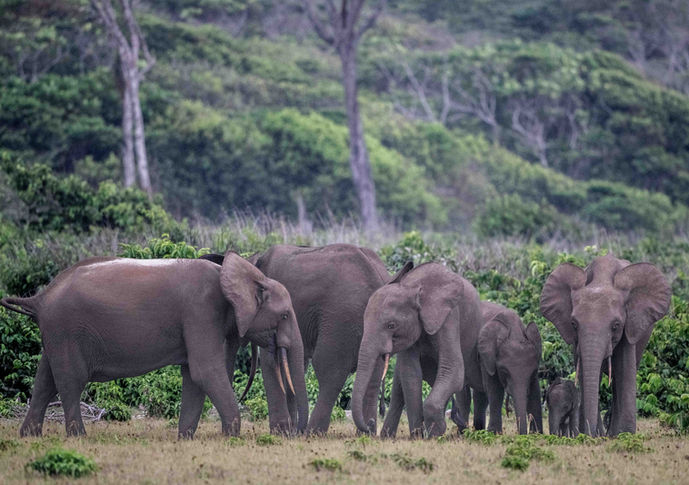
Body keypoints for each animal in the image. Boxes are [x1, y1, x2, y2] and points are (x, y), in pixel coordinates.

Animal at [0, 252, 308, 438]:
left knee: (45, 378)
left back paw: (29, 436)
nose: (297, 435)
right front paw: (230, 437)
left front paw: (185, 439)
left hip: (56, 332)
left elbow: (194, 376)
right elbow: (205, 371)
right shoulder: (200, 311)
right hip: (67, 329)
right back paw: (79, 438)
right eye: (284, 315)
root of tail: (40, 298)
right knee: (70, 381)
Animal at [202, 243, 393, 435]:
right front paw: (289, 431)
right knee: (373, 373)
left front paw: (281, 433)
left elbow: (272, 360)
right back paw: (366, 432)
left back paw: (313, 433)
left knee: (329, 368)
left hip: (341, 315)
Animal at [351, 262, 482, 438]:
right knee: (399, 388)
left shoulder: (450, 316)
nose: (370, 423)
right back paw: (387, 436)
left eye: (391, 325)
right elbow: (410, 375)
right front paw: (418, 435)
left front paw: (434, 432)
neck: (412, 287)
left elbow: (453, 370)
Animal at [454, 301, 542, 435]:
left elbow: (535, 391)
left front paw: (537, 434)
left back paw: (479, 431)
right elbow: (495, 389)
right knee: (464, 395)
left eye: (534, 371)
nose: (521, 434)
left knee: (480, 397)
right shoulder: (486, 357)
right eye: (504, 371)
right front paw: (494, 433)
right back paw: (463, 433)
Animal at [540, 253, 670, 436]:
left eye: (616, 325)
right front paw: (593, 434)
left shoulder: (630, 325)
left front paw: (625, 434)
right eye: (574, 324)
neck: (601, 280)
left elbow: (624, 368)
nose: (590, 434)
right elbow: (584, 370)